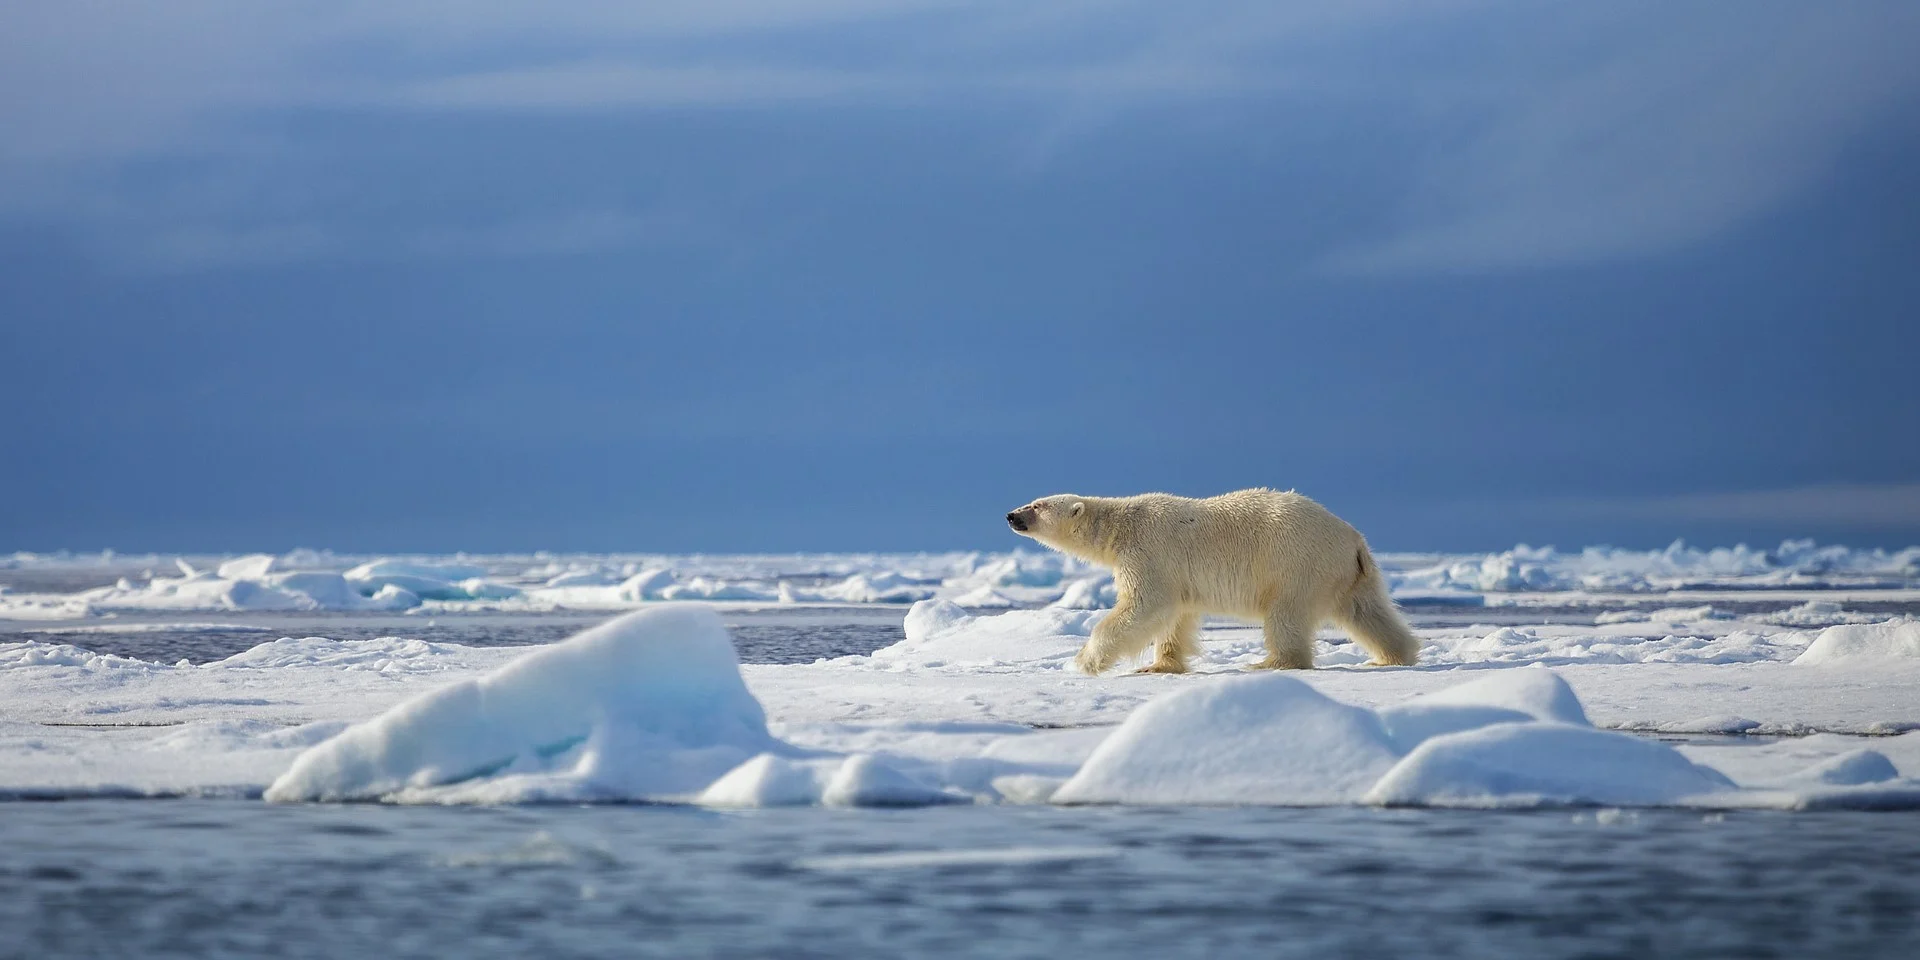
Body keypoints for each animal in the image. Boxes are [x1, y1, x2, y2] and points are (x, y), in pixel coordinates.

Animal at [1013, 487, 1420, 675]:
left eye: (1036, 505)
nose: (1010, 515)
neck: (1121, 525)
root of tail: (1354, 540)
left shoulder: (1148, 552)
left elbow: (1143, 605)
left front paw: (1085, 661)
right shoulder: (1176, 574)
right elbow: (1175, 617)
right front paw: (1159, 666)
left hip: (1296, 564)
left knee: (1285, 615)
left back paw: (1270, 662)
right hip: (1350, 575)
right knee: (1367, 612)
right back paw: (1392, 656)